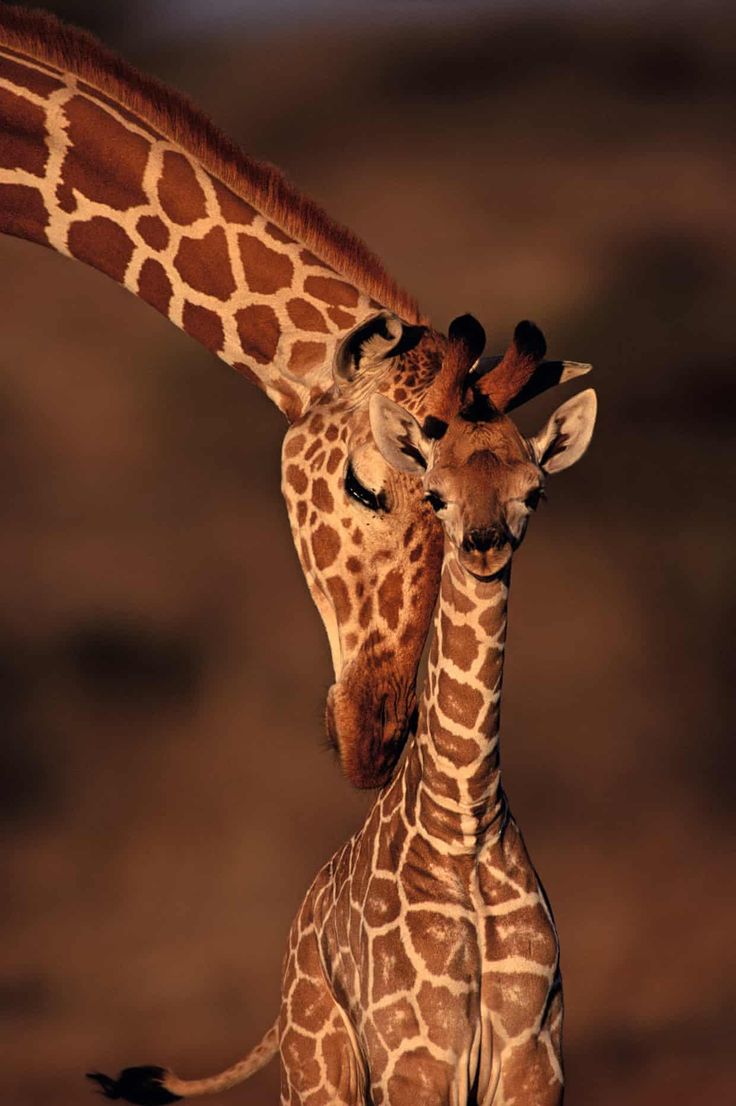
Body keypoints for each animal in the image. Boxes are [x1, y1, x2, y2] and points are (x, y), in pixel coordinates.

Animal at [88, 320, 597, 1105]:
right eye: (437, 494)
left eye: (534, 493)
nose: (483, 546)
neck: (465, 821)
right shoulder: (416, 1059)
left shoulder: (532, 1059)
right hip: (318, 1069)